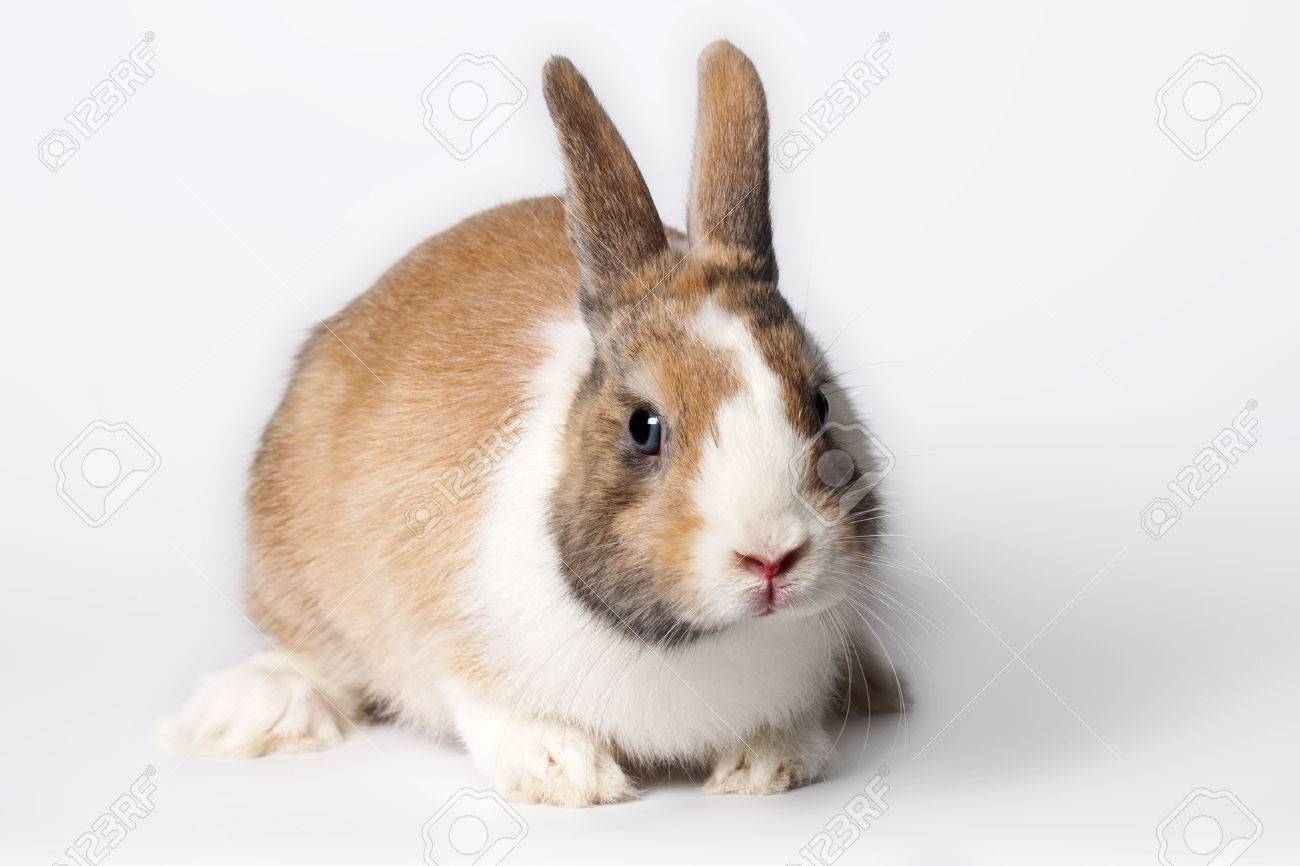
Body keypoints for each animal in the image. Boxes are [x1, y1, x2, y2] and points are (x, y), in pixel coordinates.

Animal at [161, 40, 900, 806]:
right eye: (643, 426)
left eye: (820, 403)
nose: (772, 554)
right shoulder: (458, 650)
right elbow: (494, 711)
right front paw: (566, 774)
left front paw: (767, 765)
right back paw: (258, 711)